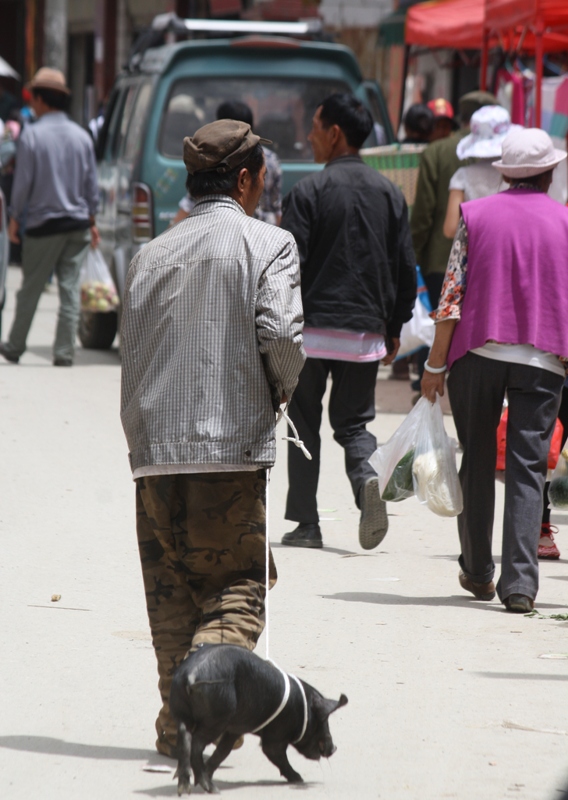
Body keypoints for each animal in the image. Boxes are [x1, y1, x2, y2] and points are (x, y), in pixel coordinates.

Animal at [169, 644, 346, 792]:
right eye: (323, 719)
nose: (334, 748)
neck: (302, 709)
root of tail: (191, 675)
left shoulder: (235, 728)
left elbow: (223, 751)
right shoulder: (275, 735)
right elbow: (276, 754)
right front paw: (299, 778)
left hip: (182, 710)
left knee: (184, 738)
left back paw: (184, 788)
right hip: (216, 717)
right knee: (195, 744)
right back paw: (212, 789)